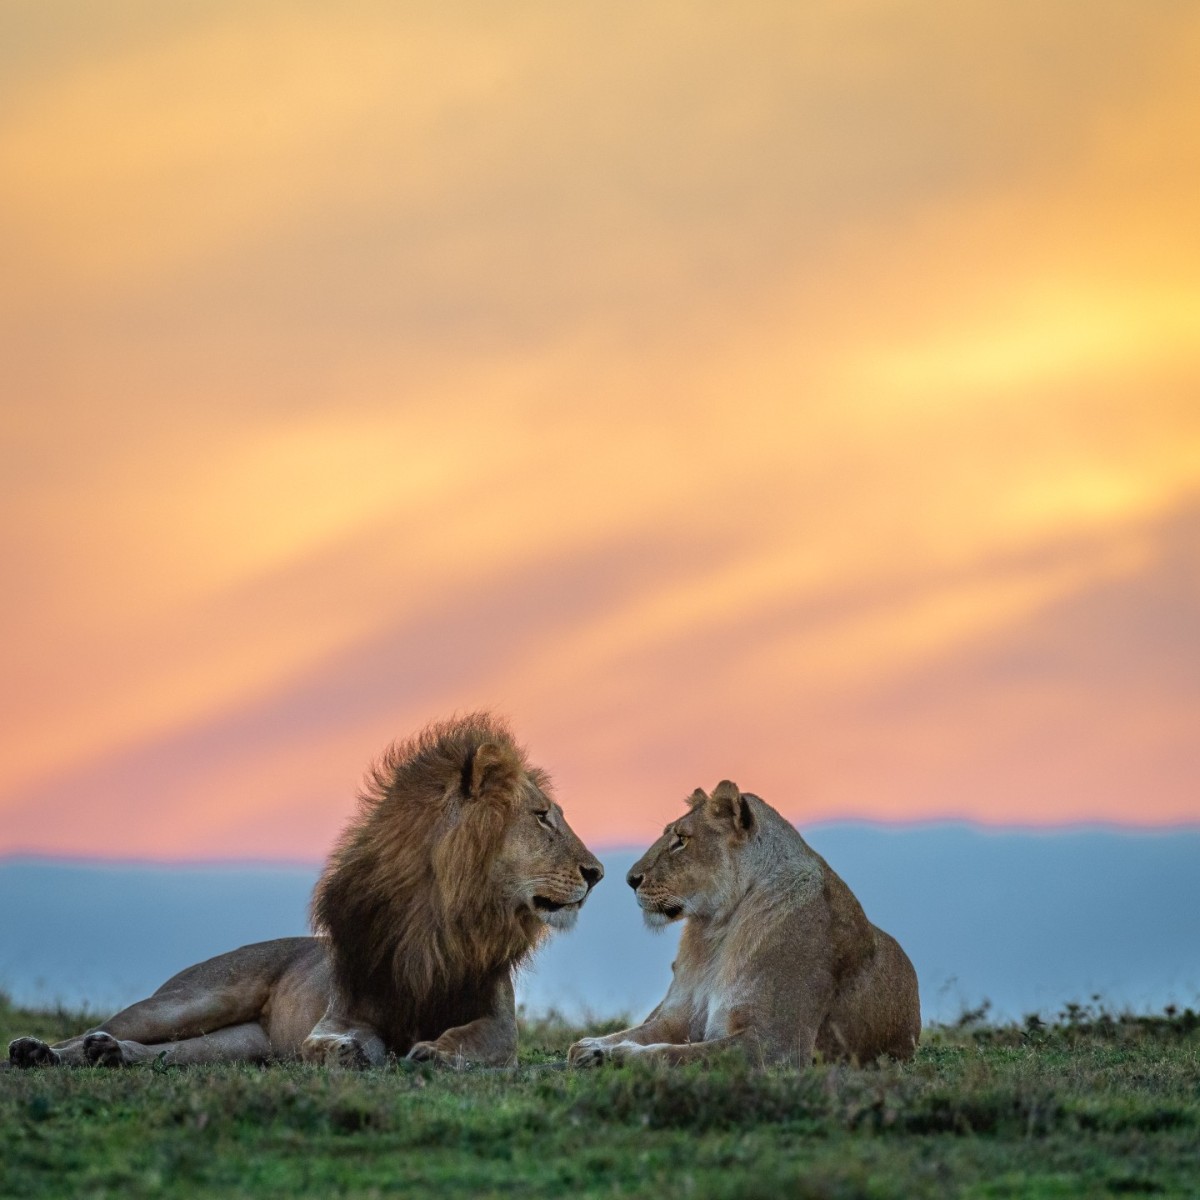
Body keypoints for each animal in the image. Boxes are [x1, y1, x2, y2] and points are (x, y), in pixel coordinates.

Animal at [9, 713, 603, 1071]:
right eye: (542, 817)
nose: (596, 873)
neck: (442, 918)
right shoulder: (343, 1011)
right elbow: (340, 1037)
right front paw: (349, 1051)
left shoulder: (499, 1023)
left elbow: (475, 1039)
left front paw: (433, 1052)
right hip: (191, 1000)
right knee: (110, 1028)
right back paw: (38, 1050)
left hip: (234, 1048)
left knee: (161, 1054)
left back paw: (107, 1053)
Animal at [568, 781, 919, 1068]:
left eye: (681, 840)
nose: (631, 879)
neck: (717, 929)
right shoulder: (677, 1017)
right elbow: (637, 1032)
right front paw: (592, 1045)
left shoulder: (777, 1045)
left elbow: (676, 1053)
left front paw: (620, 1054)